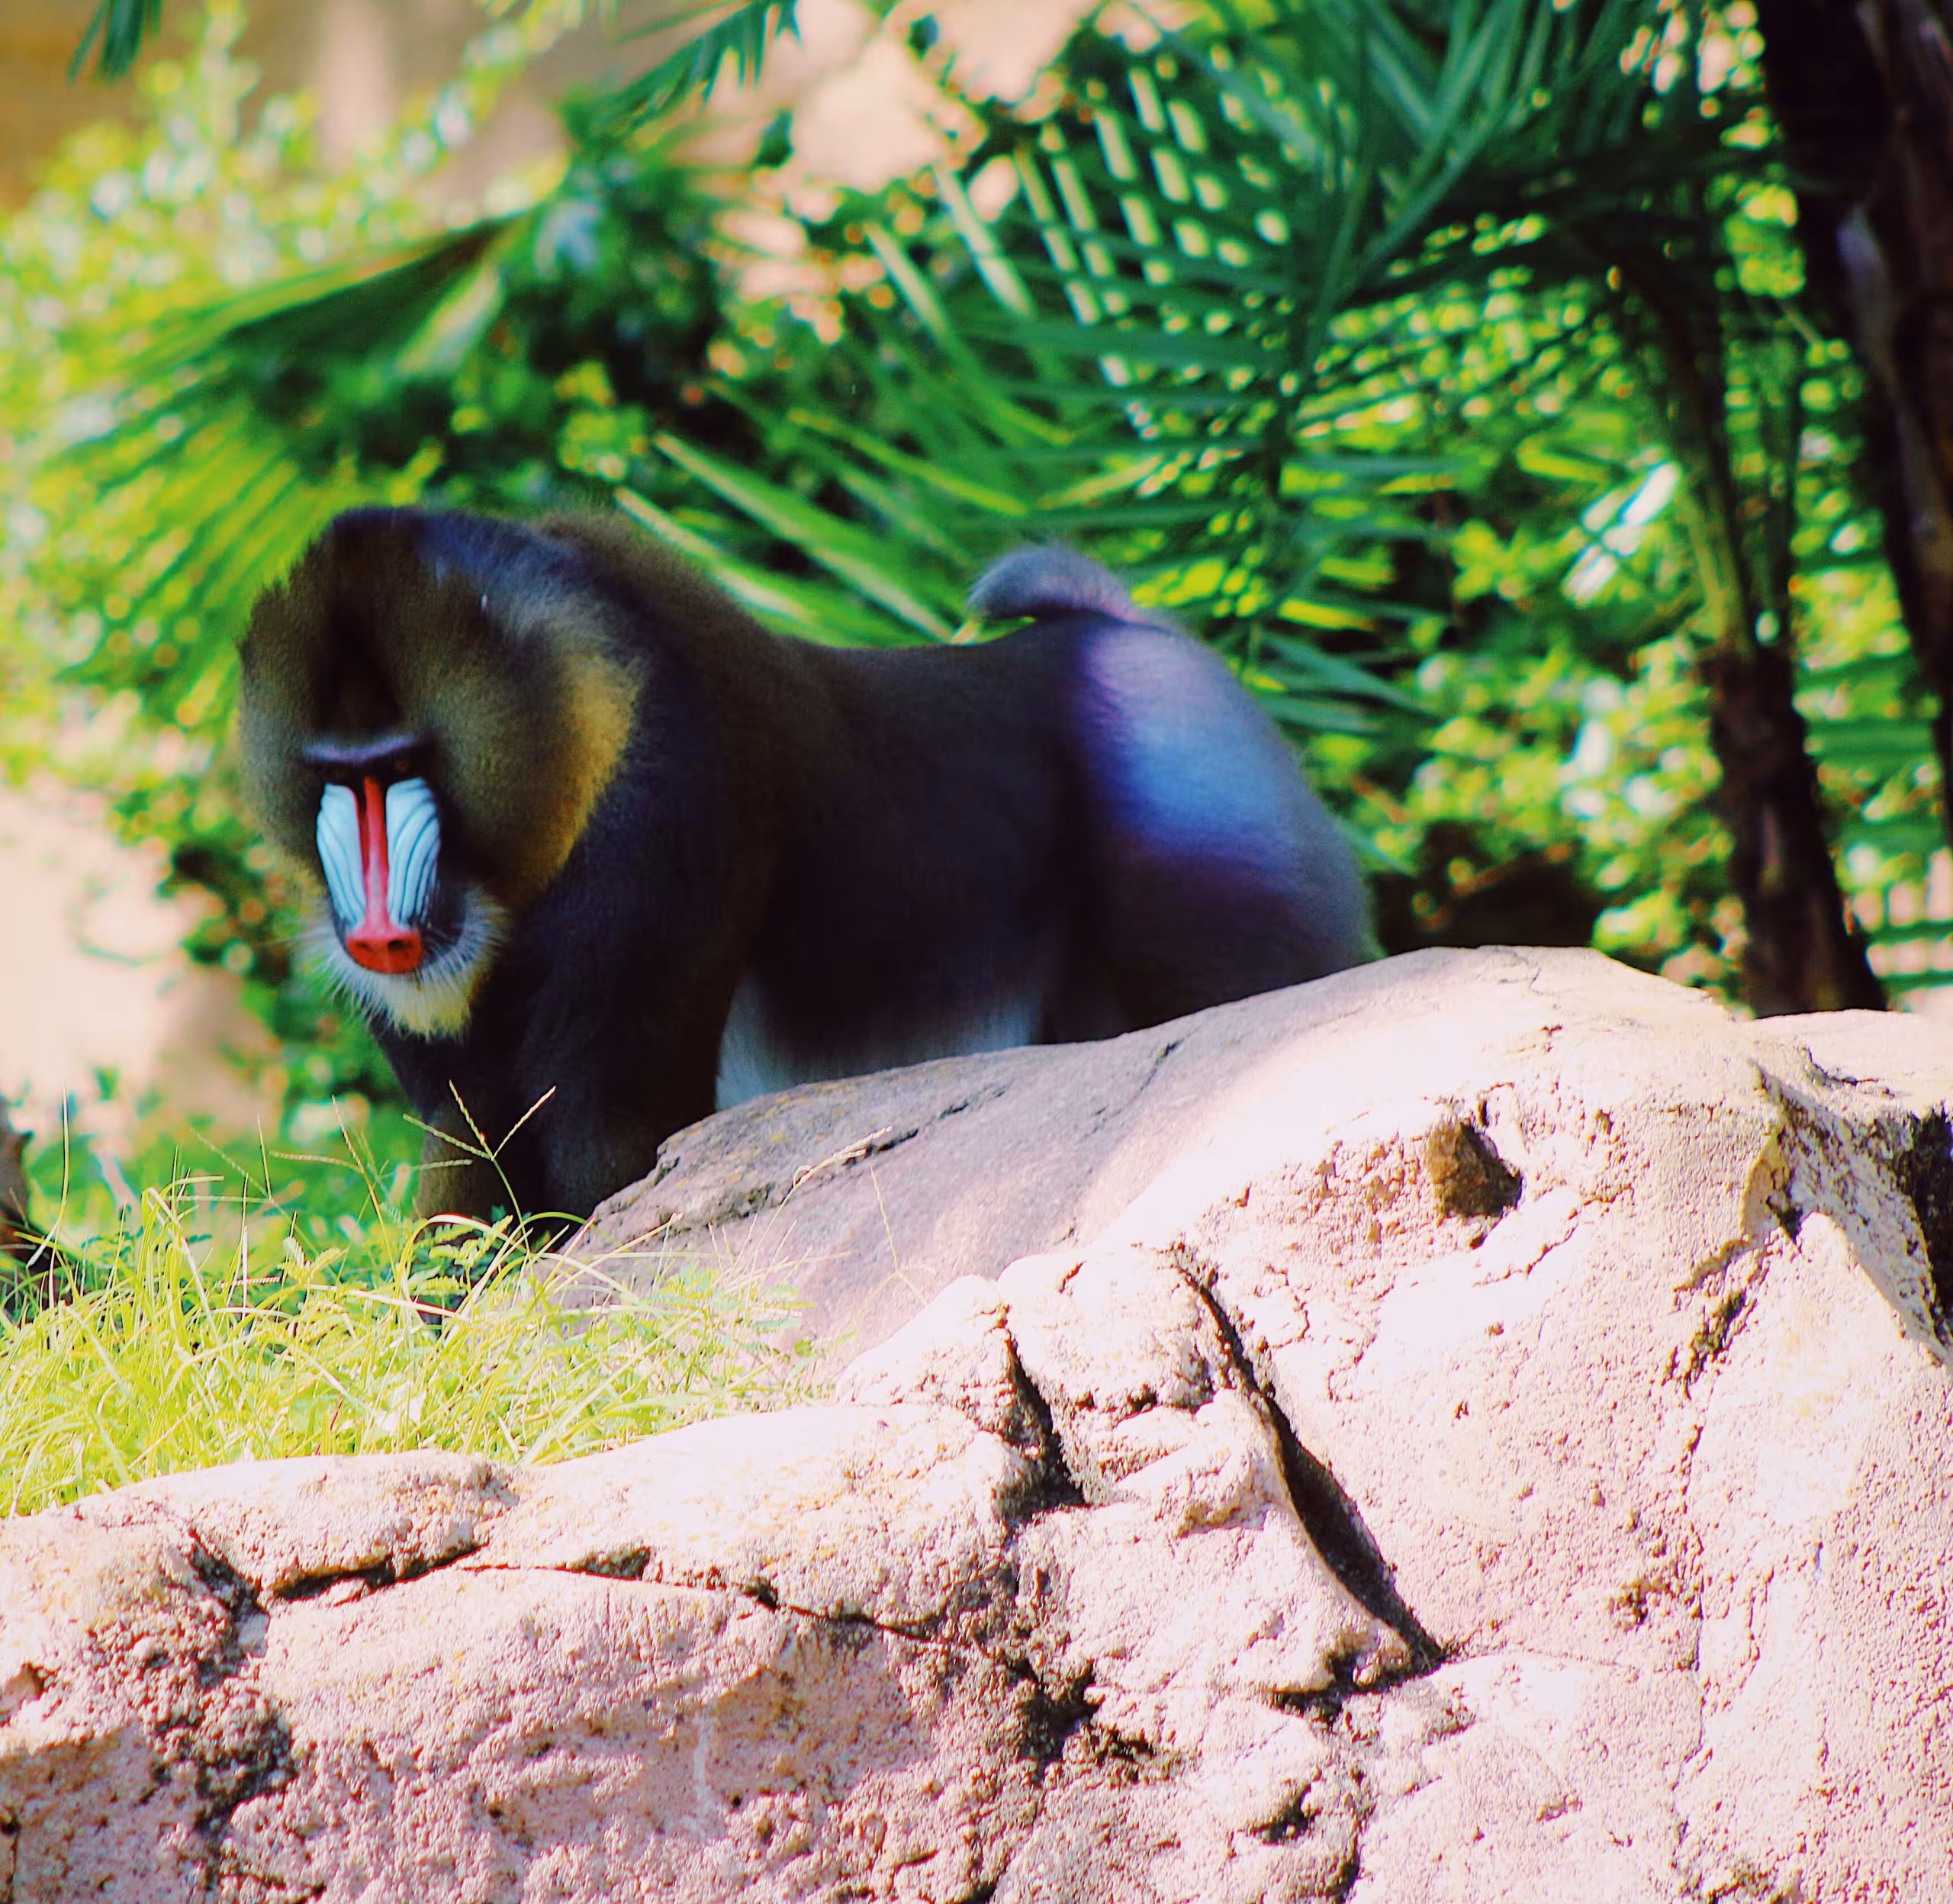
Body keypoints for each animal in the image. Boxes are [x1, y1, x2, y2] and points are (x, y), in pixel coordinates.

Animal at [238, 510, 1376, 1225]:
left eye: (400, 770)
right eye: (338, 778)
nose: (376, 931)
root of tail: (1121, 631)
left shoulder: (660, 851)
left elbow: (600, 1161)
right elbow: (471, 1148)